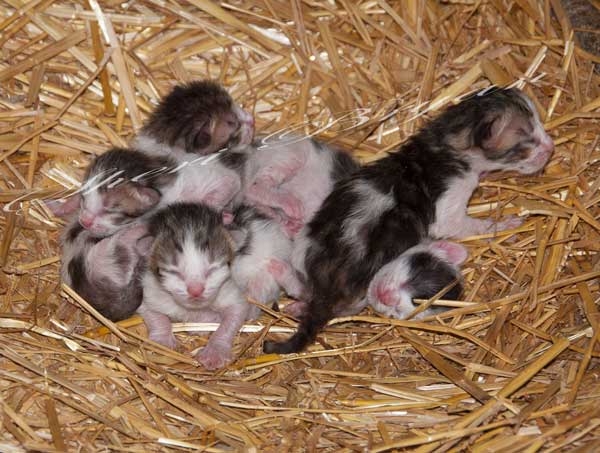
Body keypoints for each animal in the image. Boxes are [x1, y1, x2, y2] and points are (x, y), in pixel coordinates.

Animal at [138, 203, 251, 370]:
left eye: (213, 269)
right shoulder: (148, 291)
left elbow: (231, 319)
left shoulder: (231, 293)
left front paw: (215, 351)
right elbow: (155, 315)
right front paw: (162, 341)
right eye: (174, 272)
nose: (195, 290)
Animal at [264, 85, 556, 354]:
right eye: (527, 140)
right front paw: (504, 225)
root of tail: (327, 283)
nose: (551, 147)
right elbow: (464, 225)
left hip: (303, 246)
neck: (444, 144)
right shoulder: (449, 202)